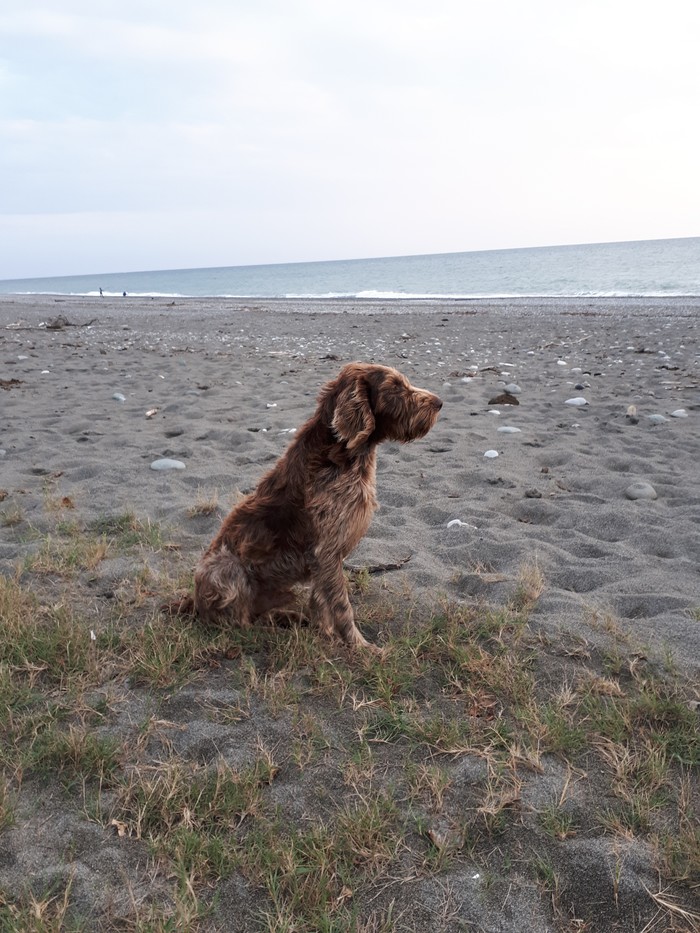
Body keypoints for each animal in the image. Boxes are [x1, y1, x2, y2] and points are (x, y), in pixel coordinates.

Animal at [172, 362, 440, 648]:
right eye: (395, 387)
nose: (439, 403)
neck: (344, 454)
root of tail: (193, 604)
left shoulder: (325, 559)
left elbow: (321, 601)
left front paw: (326, 634)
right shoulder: (327, 551)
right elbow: (342, 607)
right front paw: (359, 646)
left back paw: (286, 618)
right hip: (225, 567)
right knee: (240, 625)